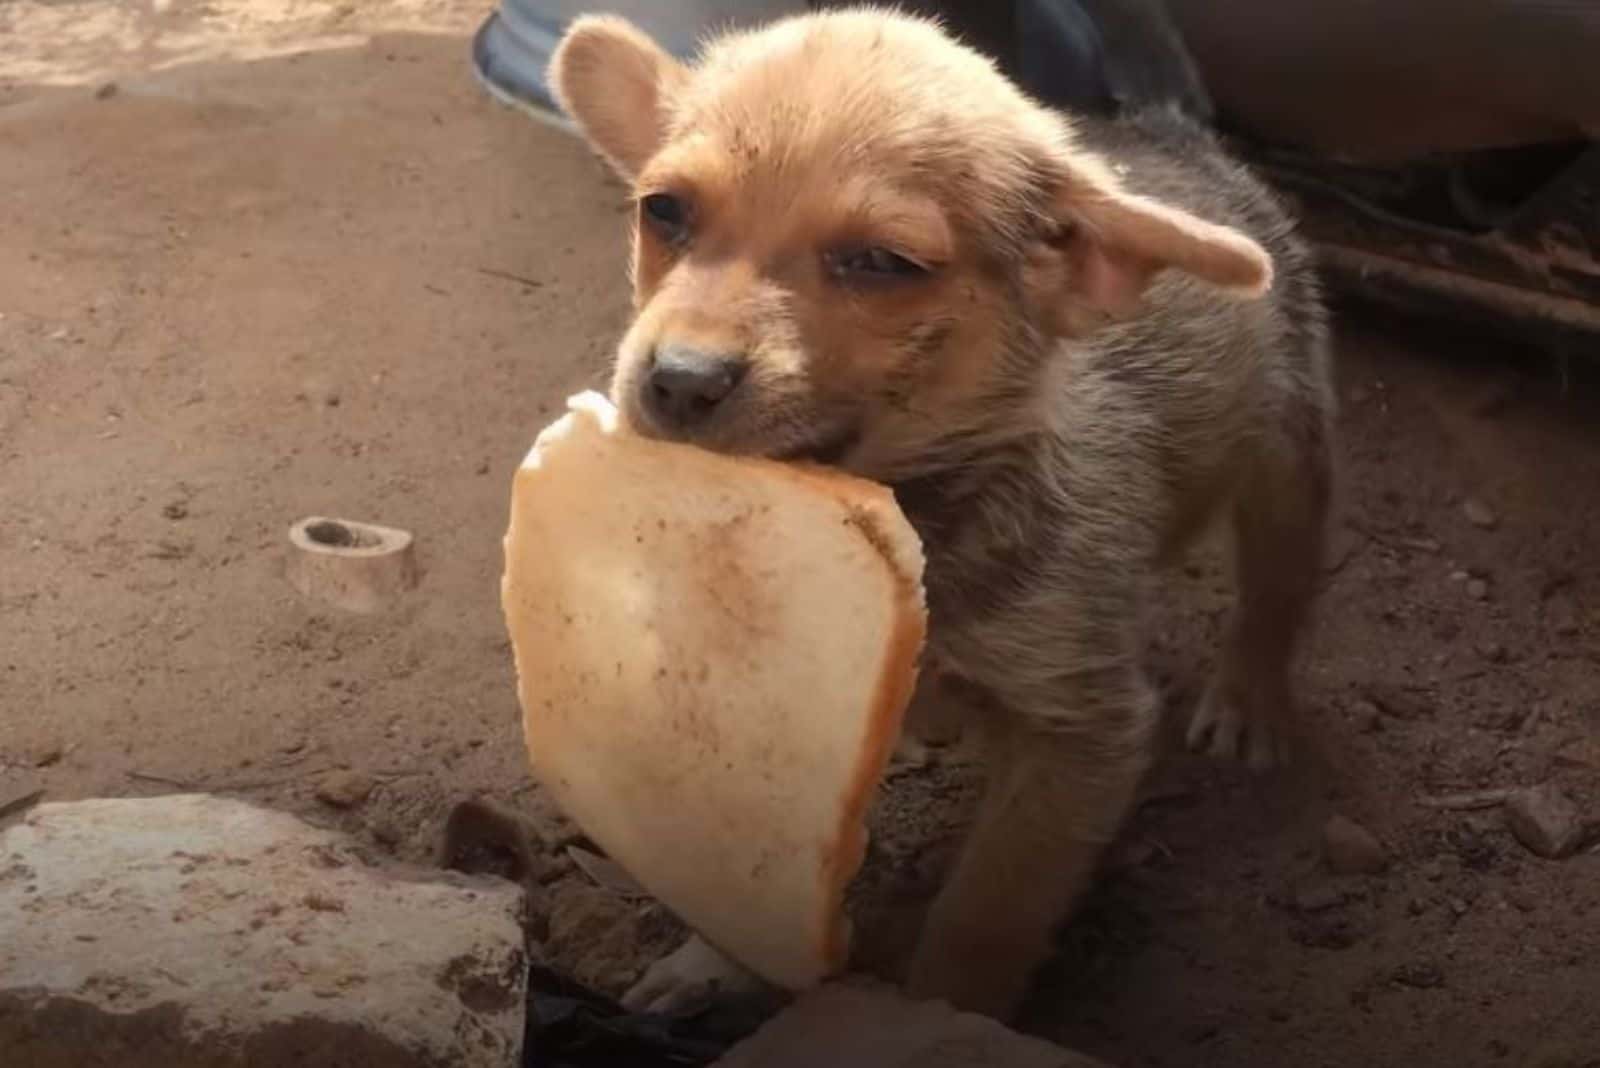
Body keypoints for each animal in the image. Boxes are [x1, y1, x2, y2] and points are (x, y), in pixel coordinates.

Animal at [544, 6, 1331, 1016]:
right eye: (665, 211)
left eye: (883, 264)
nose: (679, 380)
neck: (917, 523)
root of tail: (1166, 133)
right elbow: (753, 855)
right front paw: (712, 961)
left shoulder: (1080, 736)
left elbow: (984, 914)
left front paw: (942, 1015)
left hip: (1292, 450)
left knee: (1279, 587)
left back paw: (1249, 699)